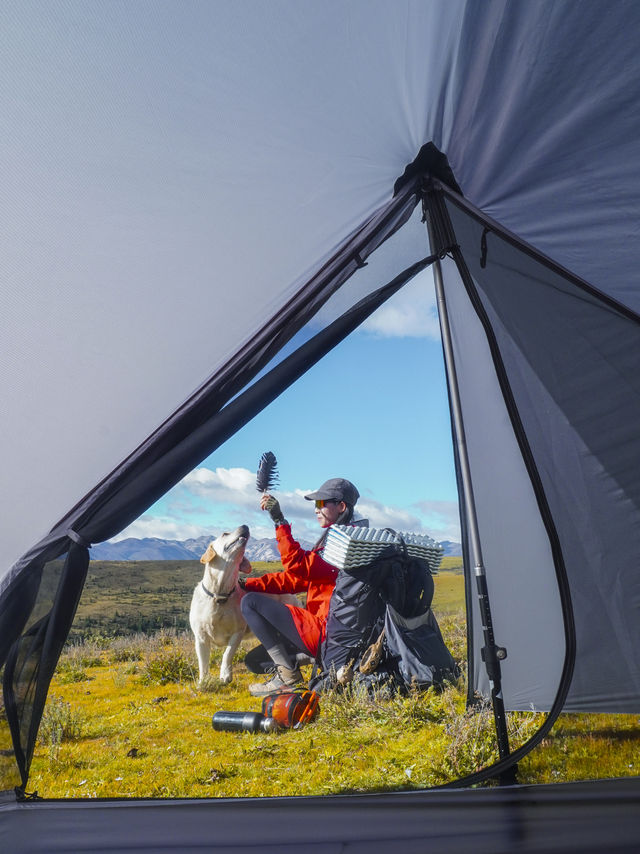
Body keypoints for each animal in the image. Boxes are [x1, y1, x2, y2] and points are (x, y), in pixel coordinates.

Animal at [190, 524, 298, 684]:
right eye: (224, 533)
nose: (245, 526)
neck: (220, 594)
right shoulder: (201, 637)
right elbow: (203, 663)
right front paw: (203, 682)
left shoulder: (237, 632)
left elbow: (227, 654)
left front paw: (225, 675)